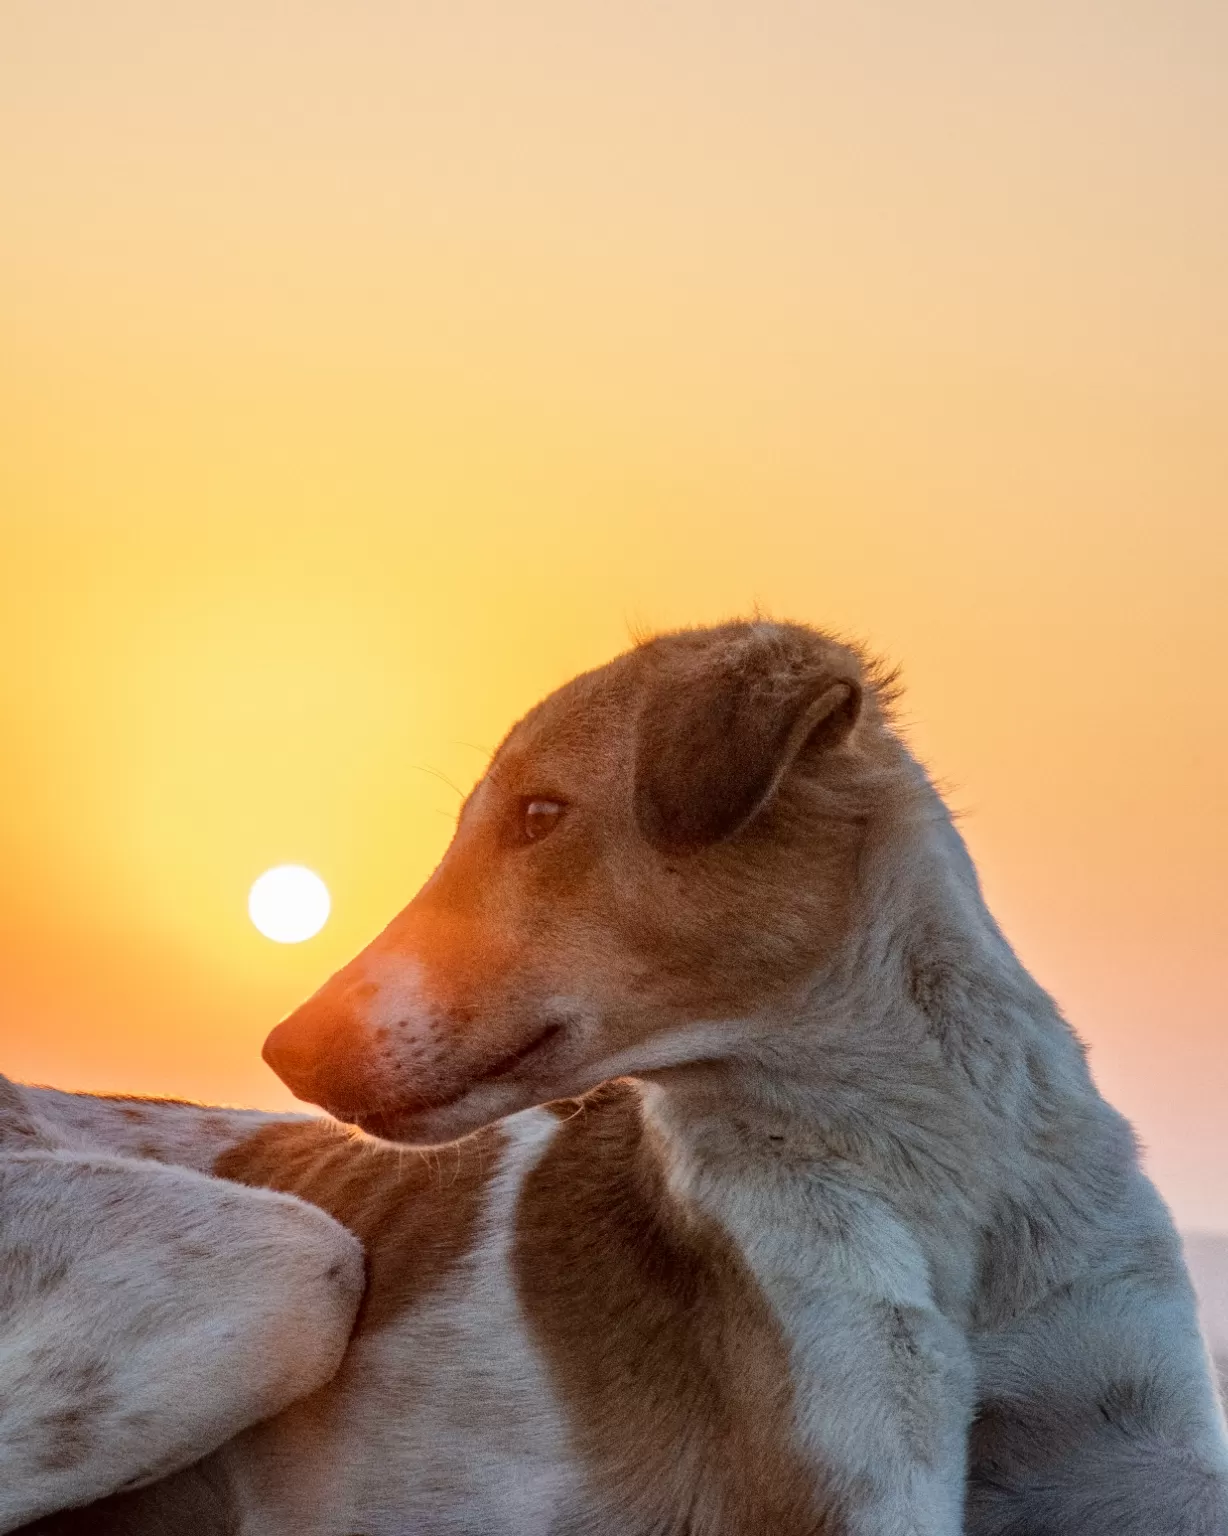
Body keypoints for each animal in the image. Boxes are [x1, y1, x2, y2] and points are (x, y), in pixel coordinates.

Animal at [9, 623, 1228, 1536]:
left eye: (540, 814)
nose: (286, 1050)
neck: (945, 1172)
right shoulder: (848, 1472)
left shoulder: (1145, 1440)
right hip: (279, 1267)